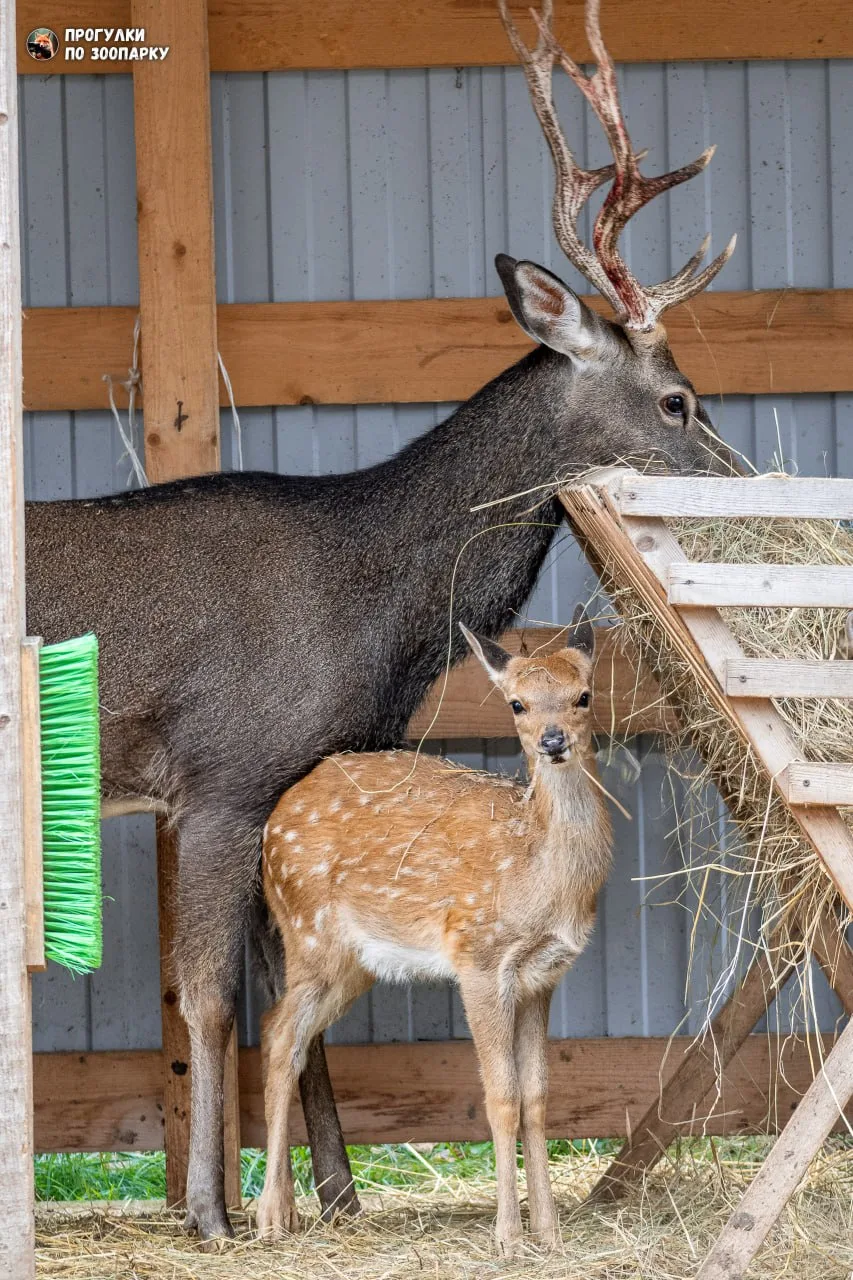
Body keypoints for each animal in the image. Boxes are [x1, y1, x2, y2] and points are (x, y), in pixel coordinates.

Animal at [257, 608, 612, 1255]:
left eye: (583, 694)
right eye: (518, 703)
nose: (553, 742)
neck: (537, 876)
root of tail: (274, 820)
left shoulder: (544, 977)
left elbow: (538, 1097)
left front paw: (550, 1233)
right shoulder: (478, 958)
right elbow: (501, 1097)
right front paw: (508, 1237)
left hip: (352, 964)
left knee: (283, 1032)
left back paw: (286, 1211)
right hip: (308, 933)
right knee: (279, 1036)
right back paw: (270, 1214)